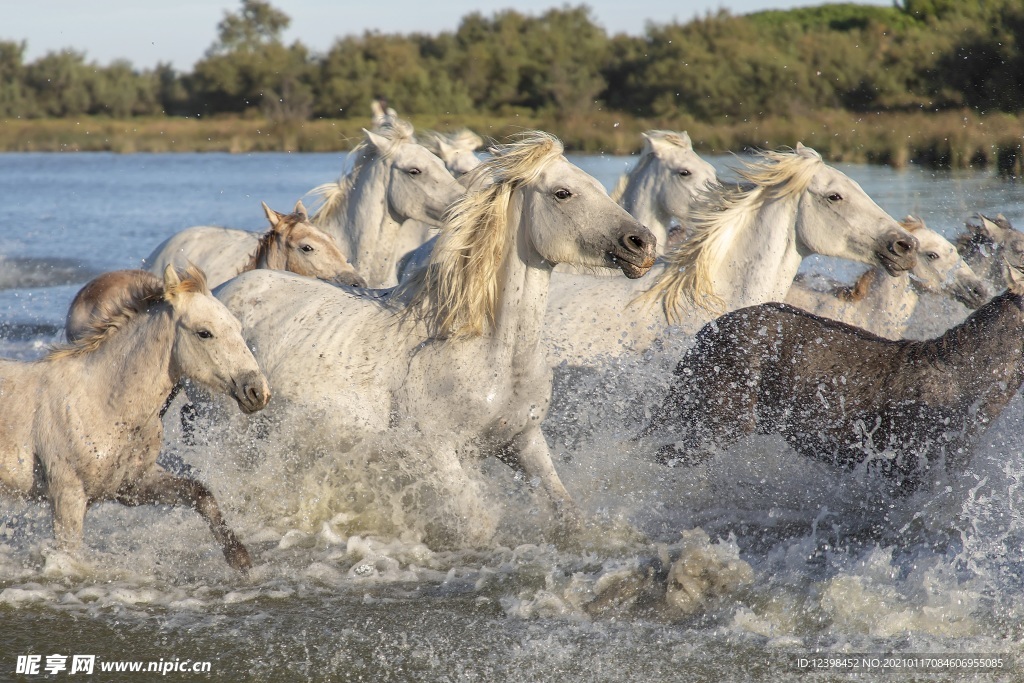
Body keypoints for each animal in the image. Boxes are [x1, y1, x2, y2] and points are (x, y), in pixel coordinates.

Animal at [0, 266, 272, 573]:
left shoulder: (133, 486)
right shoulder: (67, 495)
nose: (257, 391)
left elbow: (201, 494)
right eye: (204, 333)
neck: (101, 402)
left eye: (238, 328)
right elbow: (70, 553)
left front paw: (239, 557)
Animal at [216, 133, 655, 544]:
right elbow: (477, 525)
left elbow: (567, 513)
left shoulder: (523, 441)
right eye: (563, 193)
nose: (643, 243)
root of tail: (223, 289)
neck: (492, 353)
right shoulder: (437, 452)